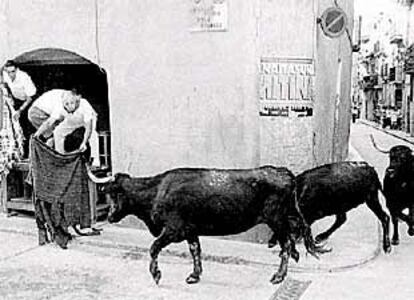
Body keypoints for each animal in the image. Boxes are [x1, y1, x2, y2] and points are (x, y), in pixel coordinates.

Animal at [90, 166, 326, 286]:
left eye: (114, 193)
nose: (109, 216)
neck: (157, 191)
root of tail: (283, 172)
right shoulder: (190, 230)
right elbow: (195, 250)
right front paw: (195, 275)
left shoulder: (174, 230)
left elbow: (153, 248)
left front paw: (156, 274)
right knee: (291, 242)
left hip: (276, 220)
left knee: (286, 245)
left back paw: (278, 276)